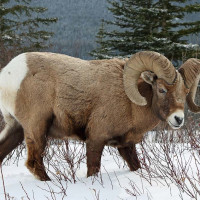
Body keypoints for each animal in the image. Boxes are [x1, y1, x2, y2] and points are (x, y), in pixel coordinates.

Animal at [0, 50, 200, 180]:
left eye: (185, 91)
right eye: (161, 89)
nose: (178, 119)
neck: (130, 104)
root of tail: (8, 75)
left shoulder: (126, 145)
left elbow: (135, 166)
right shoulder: (96, 139)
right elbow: (93, 169)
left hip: (16, 128)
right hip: (37, 128)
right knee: (34, 163)